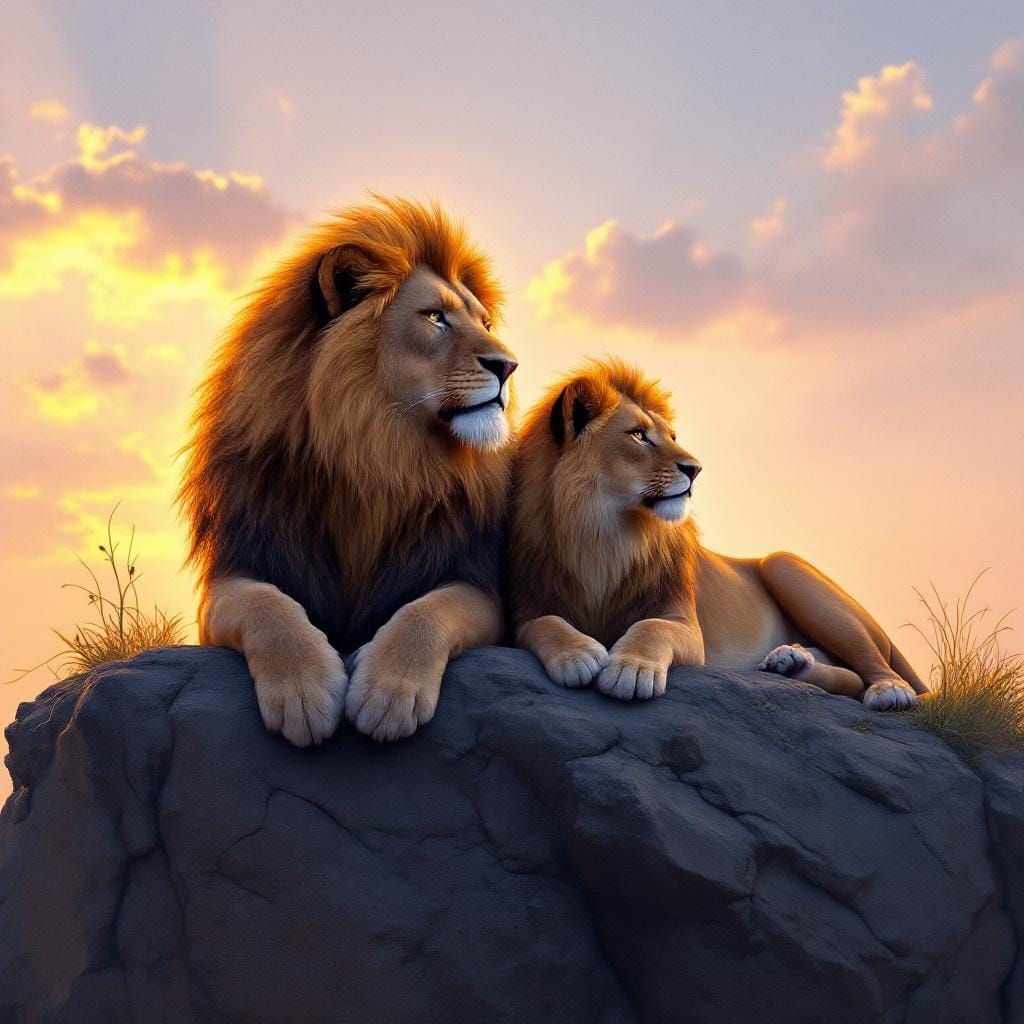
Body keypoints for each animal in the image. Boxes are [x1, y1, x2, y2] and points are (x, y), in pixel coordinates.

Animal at [179, 196, 518, 745]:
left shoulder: (474, 582)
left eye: (486, 324)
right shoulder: (238, 569)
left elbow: (426, 612)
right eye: (435, 318)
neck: (376, 453)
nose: (509, 366)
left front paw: (389, 694)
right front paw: (303, 693)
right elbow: (268, 605)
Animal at [510, 359, 928, 710]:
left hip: (784, 566)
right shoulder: (528, 607)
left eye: (672, 435)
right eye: (638, 435)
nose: (695, 468)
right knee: (848, 676)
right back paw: (789, 661)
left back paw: (888, 690)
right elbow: (545, 623)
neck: (606, 534)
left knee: (873, 668)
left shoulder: (684, 623)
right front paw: (577, 655)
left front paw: (632, 670)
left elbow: (650, 627)